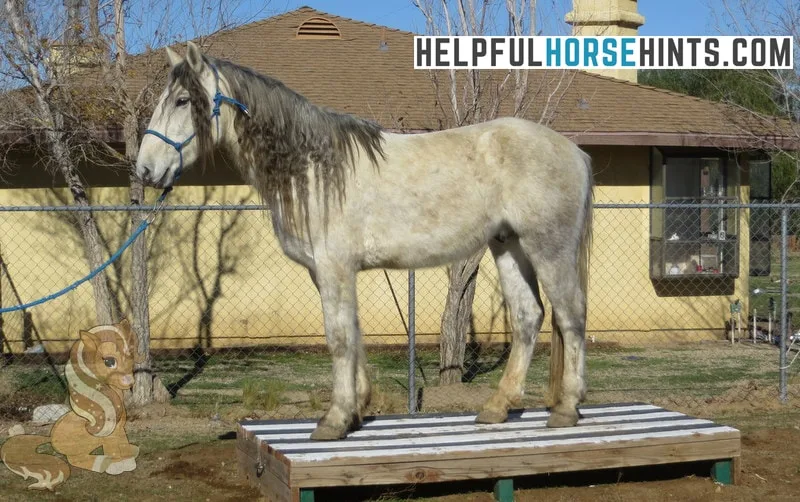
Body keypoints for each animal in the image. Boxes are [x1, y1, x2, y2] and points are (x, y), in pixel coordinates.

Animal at [136, 42, 592, 440]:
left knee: (570, 315)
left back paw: (567, 408)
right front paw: (356, 409)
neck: (314, 168)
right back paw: (497, 407)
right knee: (528, 317)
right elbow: (351, 333)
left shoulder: (334, 267)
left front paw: (335, 419)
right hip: (508, 245)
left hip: (548, 247)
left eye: (182, 101)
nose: (144, 169)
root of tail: (574, 151)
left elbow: (338, 337)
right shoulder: (329, 272)